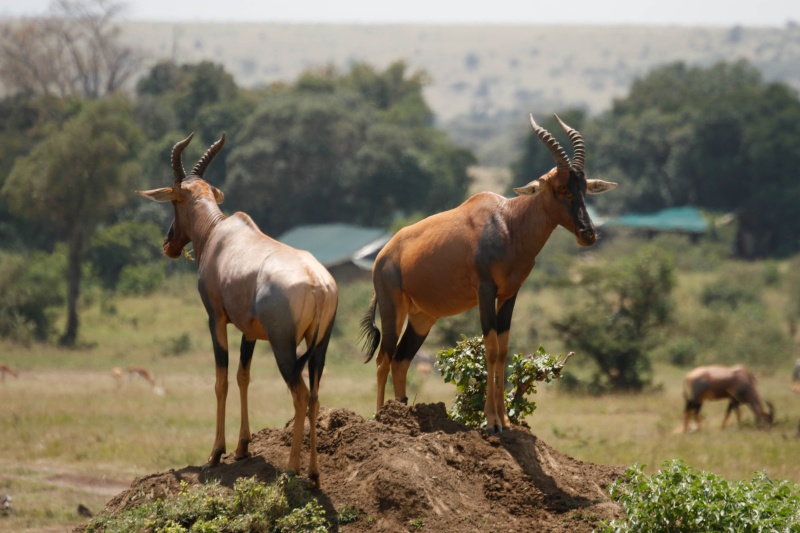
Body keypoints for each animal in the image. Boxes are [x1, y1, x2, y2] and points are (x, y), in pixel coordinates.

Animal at [138, 133, 338, 486]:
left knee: (299, 394)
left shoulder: (216, 318)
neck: (220, 234)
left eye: (174, 200)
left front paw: (216, 454)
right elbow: (244, 376)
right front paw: (243, 447)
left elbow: (222, 380)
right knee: (314, 397)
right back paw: (314, 474)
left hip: (284, 346)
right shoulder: (249, 330)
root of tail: (317, 282)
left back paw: (291, 469)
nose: (169, 244)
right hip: (320, 346)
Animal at [362, 114, 620, 430]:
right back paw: (380, 418)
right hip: (393, 308)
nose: (588, 234)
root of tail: (384, 254)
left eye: (583, 187)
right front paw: (492, 421)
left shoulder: (510, 294)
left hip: (423, 317)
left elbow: (504, 350)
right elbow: (491, 348)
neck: (508, 222)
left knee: (401, 360)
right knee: (383, 359)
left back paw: (401, 413)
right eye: (561, 187)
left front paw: (505, 421)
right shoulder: (485, 291)